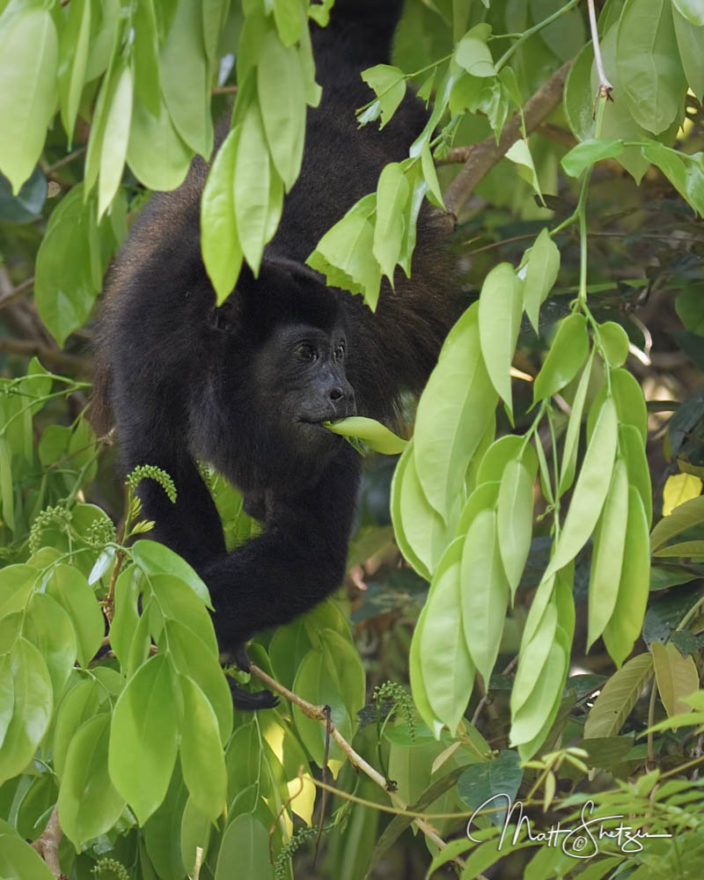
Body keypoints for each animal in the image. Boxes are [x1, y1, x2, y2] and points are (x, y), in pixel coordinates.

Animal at [95, 0, 456, 704]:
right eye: (306, 353)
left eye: (339, 351)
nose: (342, 389)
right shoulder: (148, 344)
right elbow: (166, 471)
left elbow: (309, 548)